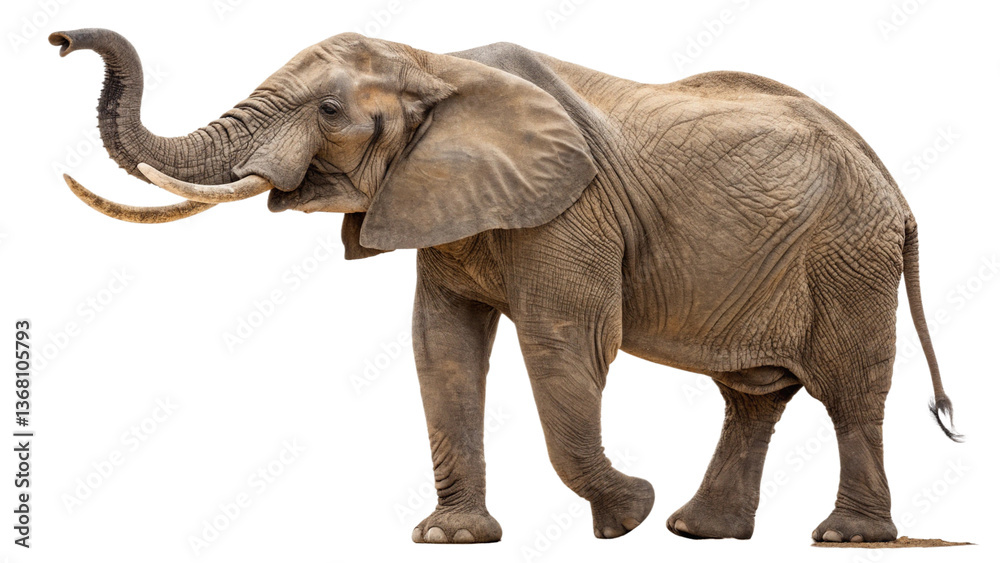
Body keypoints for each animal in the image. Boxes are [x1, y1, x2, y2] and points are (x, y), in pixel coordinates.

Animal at [49, 28, 961, 545]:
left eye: (331, 113)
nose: (59, 39)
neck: (434, 65)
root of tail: (898, 188)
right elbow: (441, 348)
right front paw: (451, 536)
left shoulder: (573, 212)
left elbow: (563, 344)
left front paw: (624, 515)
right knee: (753, 395)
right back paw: (698, 530)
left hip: (848, 256)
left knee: (848, 390)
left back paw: (842, 537)